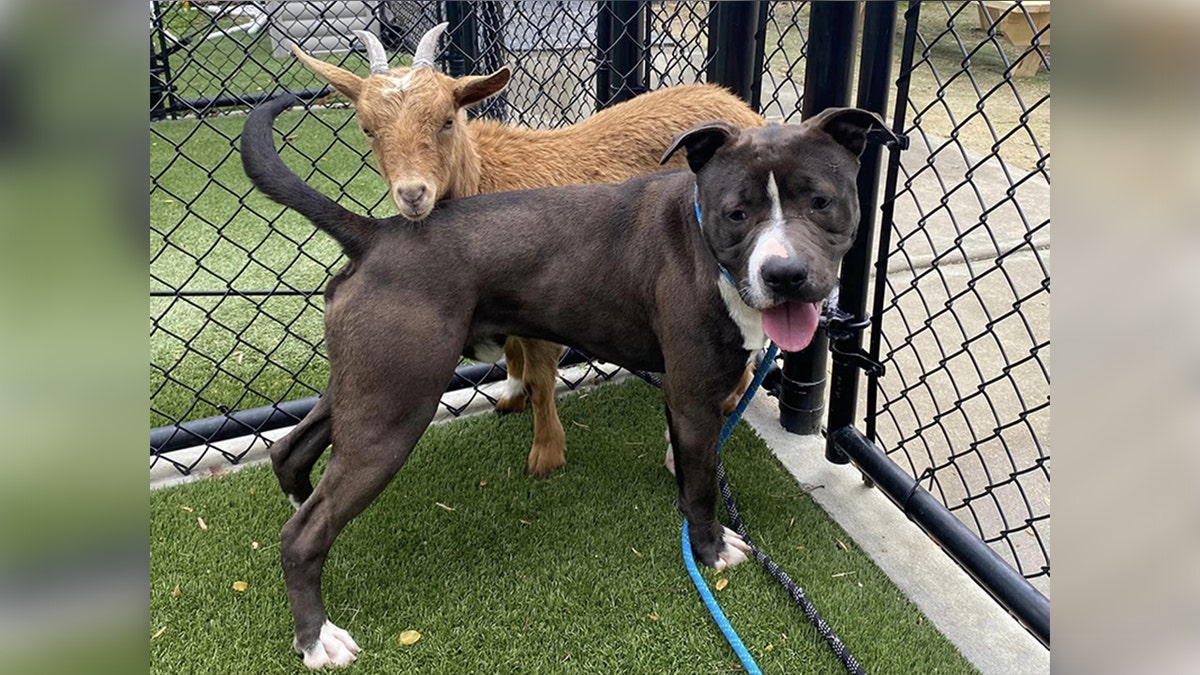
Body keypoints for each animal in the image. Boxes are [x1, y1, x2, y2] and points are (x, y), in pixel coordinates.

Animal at [241, 91, 883, 662]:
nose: (785, 274)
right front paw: (708, 548)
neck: (702, 238)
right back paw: (317, 640)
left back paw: (301, 503)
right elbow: (701, 486)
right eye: (737, 212)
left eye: (821, 201)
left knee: (291, 451)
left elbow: (692, 464)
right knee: (303, 532)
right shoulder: (694, 393)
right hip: (394, 410)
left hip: (366, 386)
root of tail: (378, 234)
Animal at [289, 24, 758, 473]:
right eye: (367, 128)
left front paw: (545, 455)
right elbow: (514, 357)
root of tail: (743, 108)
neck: (486, 177)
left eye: (446, 120)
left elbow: (541, 378)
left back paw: (733, 398)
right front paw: (511, 398)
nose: (413, 194)